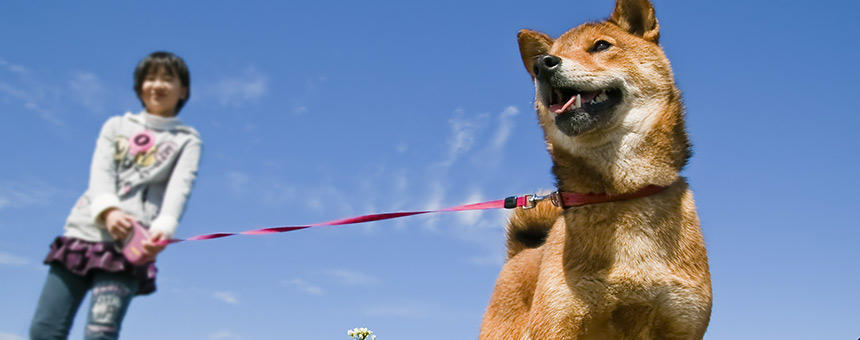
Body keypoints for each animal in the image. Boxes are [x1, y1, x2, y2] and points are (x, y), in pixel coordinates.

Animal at [484, 0, 712, 338]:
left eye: (601, 45)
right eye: (546, 58)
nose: (542, 65)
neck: (622, 195)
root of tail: (520, 254)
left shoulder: (680, 322)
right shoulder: (558, 324)